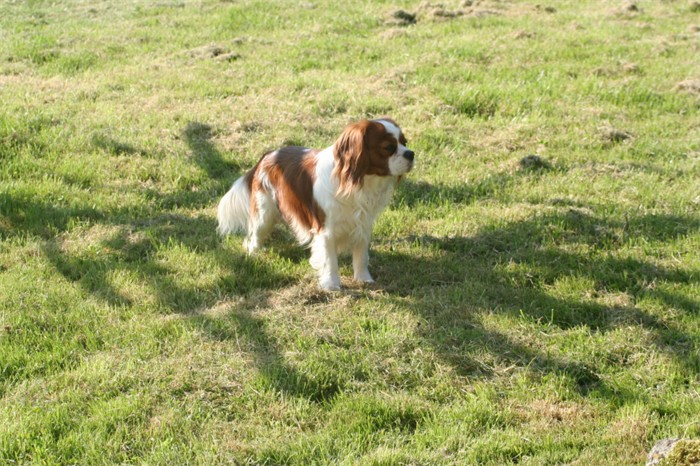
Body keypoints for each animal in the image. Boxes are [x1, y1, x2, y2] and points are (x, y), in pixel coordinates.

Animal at [217, 118, 416, 290]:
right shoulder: (326, 229)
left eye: (404, 142)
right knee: (254, 238)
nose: (411, 153)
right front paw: (332, 285)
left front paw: (364, 279)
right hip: (264, 214)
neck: (357, 182)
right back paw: (254, 255)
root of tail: (267, 155)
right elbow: (330, 260)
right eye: (388, 147)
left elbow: (361, 256)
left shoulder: (362, 224)